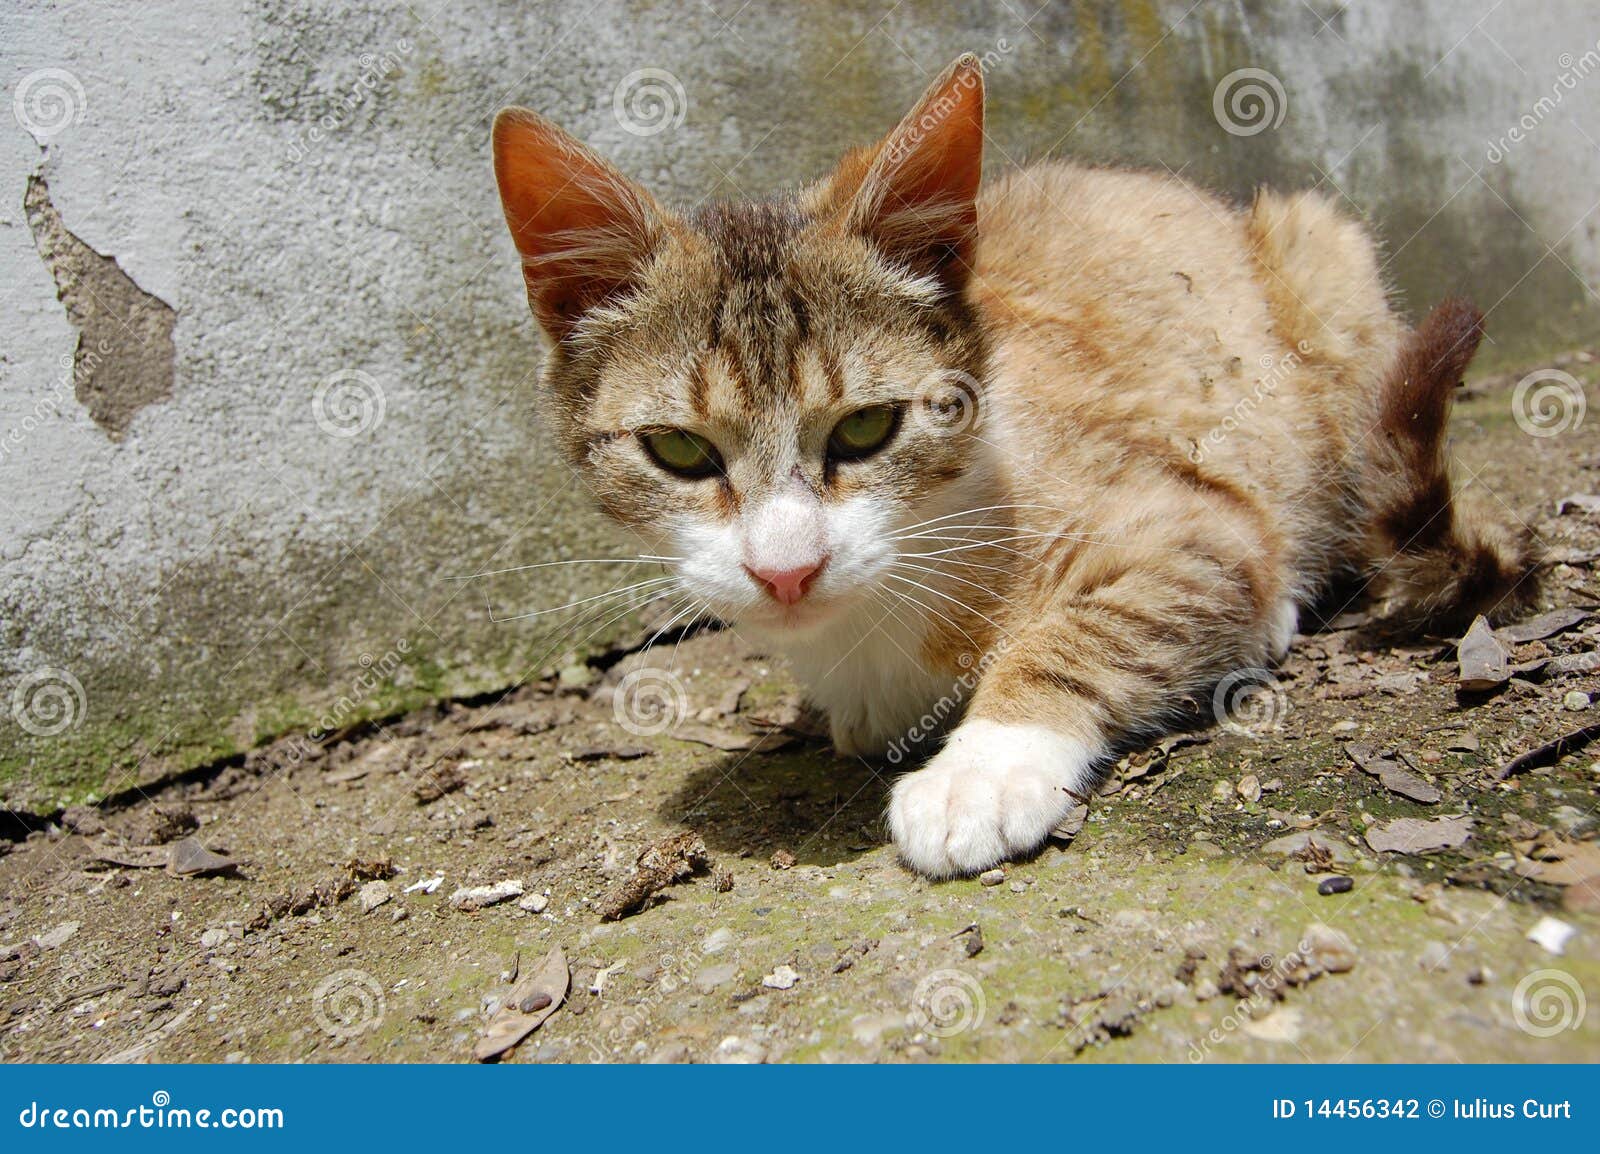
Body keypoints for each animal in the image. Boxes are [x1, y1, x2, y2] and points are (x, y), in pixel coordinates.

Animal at [489, 54, 1536, 870]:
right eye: (678, 449)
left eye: (866, 430)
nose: (787, 571)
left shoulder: (1193, 516)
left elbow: (1109, 614)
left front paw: (983, 766)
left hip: (1324, 265)